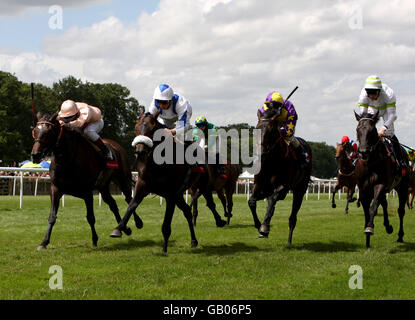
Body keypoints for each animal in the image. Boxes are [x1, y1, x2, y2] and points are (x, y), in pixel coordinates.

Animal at [30, 112, 142, 250]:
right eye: (34, 131)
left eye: (48, 132)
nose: (35, 155)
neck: (67, 160)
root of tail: (117, 146)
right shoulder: (55, 189)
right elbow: (52, 217)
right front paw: (44, 242)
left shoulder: (87, 192)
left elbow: (90, 217)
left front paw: (94, 239)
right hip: (103, 186)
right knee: (112, 204)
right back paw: (123, 229)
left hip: (122, 179)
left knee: (129, 199)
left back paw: (137, 222)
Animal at [109, 111, 203, 254]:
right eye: (136, 127)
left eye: (152, 129)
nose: (140, 151)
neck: (157, 164)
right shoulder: (142, 185)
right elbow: (131, 205)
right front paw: (119, 229)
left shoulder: (170, 194)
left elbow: (166, 224)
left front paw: (164, 249)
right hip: (179, 195)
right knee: (187, 210)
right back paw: (193, 240)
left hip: (181, 192)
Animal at [247, 110, 312, 245]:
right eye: (256, 129)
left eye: (271, 131)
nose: (260, 154)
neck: (270, 162)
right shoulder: (260, 187)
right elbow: (251, 202)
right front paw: (258, 224)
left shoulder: (283, 187)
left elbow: (272, 200)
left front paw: (264, 228)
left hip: (300, 190)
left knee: (292, 217)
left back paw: (289, 241)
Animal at [354, 111, 410, 249]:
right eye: (358, 129)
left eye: (372, 130)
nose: (363, 152)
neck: (371, 163)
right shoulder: (363, 188)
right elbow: (367, 210)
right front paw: (367, 238)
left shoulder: (379, 184)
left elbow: (373, 207)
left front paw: (369, 228)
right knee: (384, 203)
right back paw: (388, 226)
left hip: (402, 187)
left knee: (401, 211)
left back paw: (400, 235)